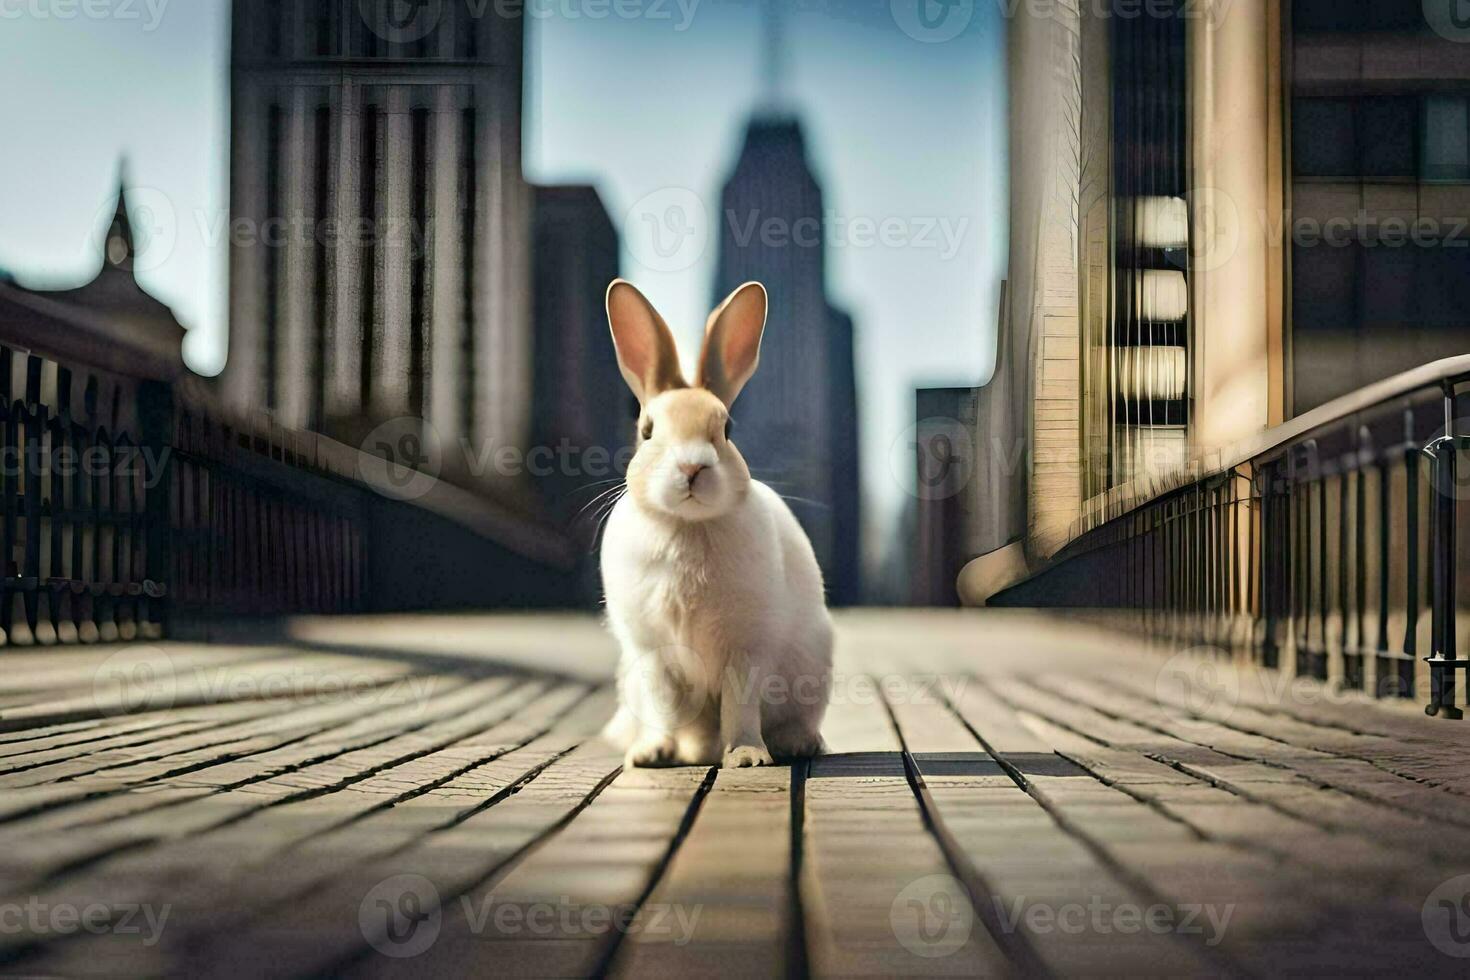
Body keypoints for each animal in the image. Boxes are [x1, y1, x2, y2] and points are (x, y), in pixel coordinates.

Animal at [593, 279, 829, 769]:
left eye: (728, 428)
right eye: (647, 430)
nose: (691, 467)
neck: (686, 525)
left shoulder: (747, 648)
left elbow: (740, 707)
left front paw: (747, 757)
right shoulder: (653, 654)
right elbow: (663, 705)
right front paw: (652, 754)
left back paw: (798, 744)